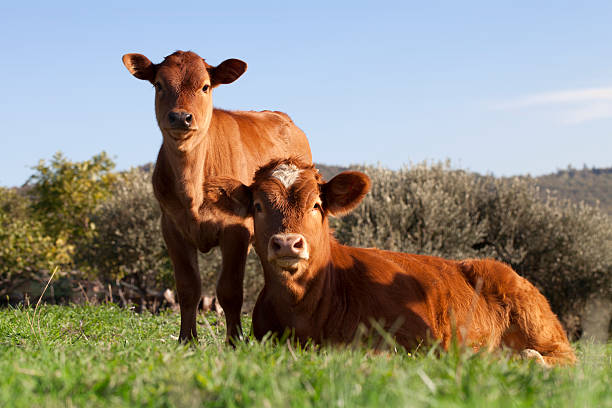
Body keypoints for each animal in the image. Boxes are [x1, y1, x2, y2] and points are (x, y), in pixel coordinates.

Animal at [120, 51, 310, 344]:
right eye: (159, 85)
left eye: (205, 86)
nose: (181, 117)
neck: (192, 189)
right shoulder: (171, 228)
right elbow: (188, 288)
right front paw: (187, 340)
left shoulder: (236, 229)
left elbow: (230, 290)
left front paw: (235, 341)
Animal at [208, 159, 576, 366]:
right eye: (257, 205)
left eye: (316, 204)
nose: (287, 242)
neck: (304, 310)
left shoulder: (417, 339)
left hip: (537, 322)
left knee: (563, 357)